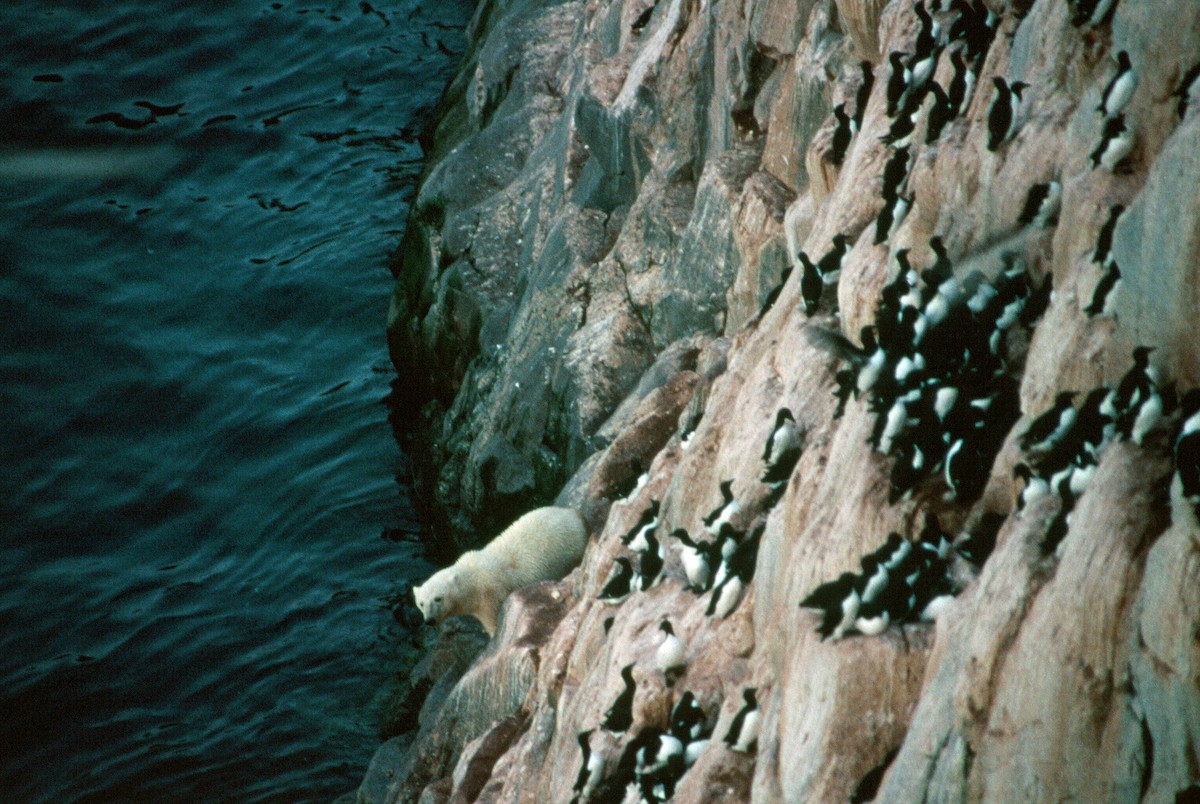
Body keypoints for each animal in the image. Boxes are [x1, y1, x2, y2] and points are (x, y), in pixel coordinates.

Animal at [410, 511, 588, 638]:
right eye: (421, 603)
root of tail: (575, 515)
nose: (429, 620)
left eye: (438, 598)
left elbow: (493, 623)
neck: (472, 578)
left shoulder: (490, 597)